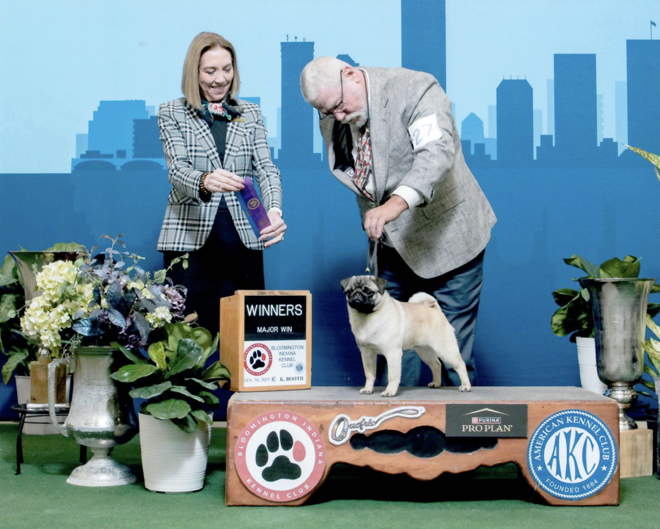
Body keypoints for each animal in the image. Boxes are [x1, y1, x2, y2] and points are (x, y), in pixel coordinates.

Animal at [341, 275, 472, 397]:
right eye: (348, 292)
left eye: (368, 292)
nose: (357, 294)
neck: (366, 317)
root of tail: (435, 310)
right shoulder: (367, 354)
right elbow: (369, 374)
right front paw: (368, 389)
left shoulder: (392, 353)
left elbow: (392, 376)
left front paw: (389, 391)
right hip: (425, 351)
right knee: (436, 364)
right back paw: (436, 383)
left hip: (446, 350)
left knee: (461, 365)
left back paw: (466, 386)